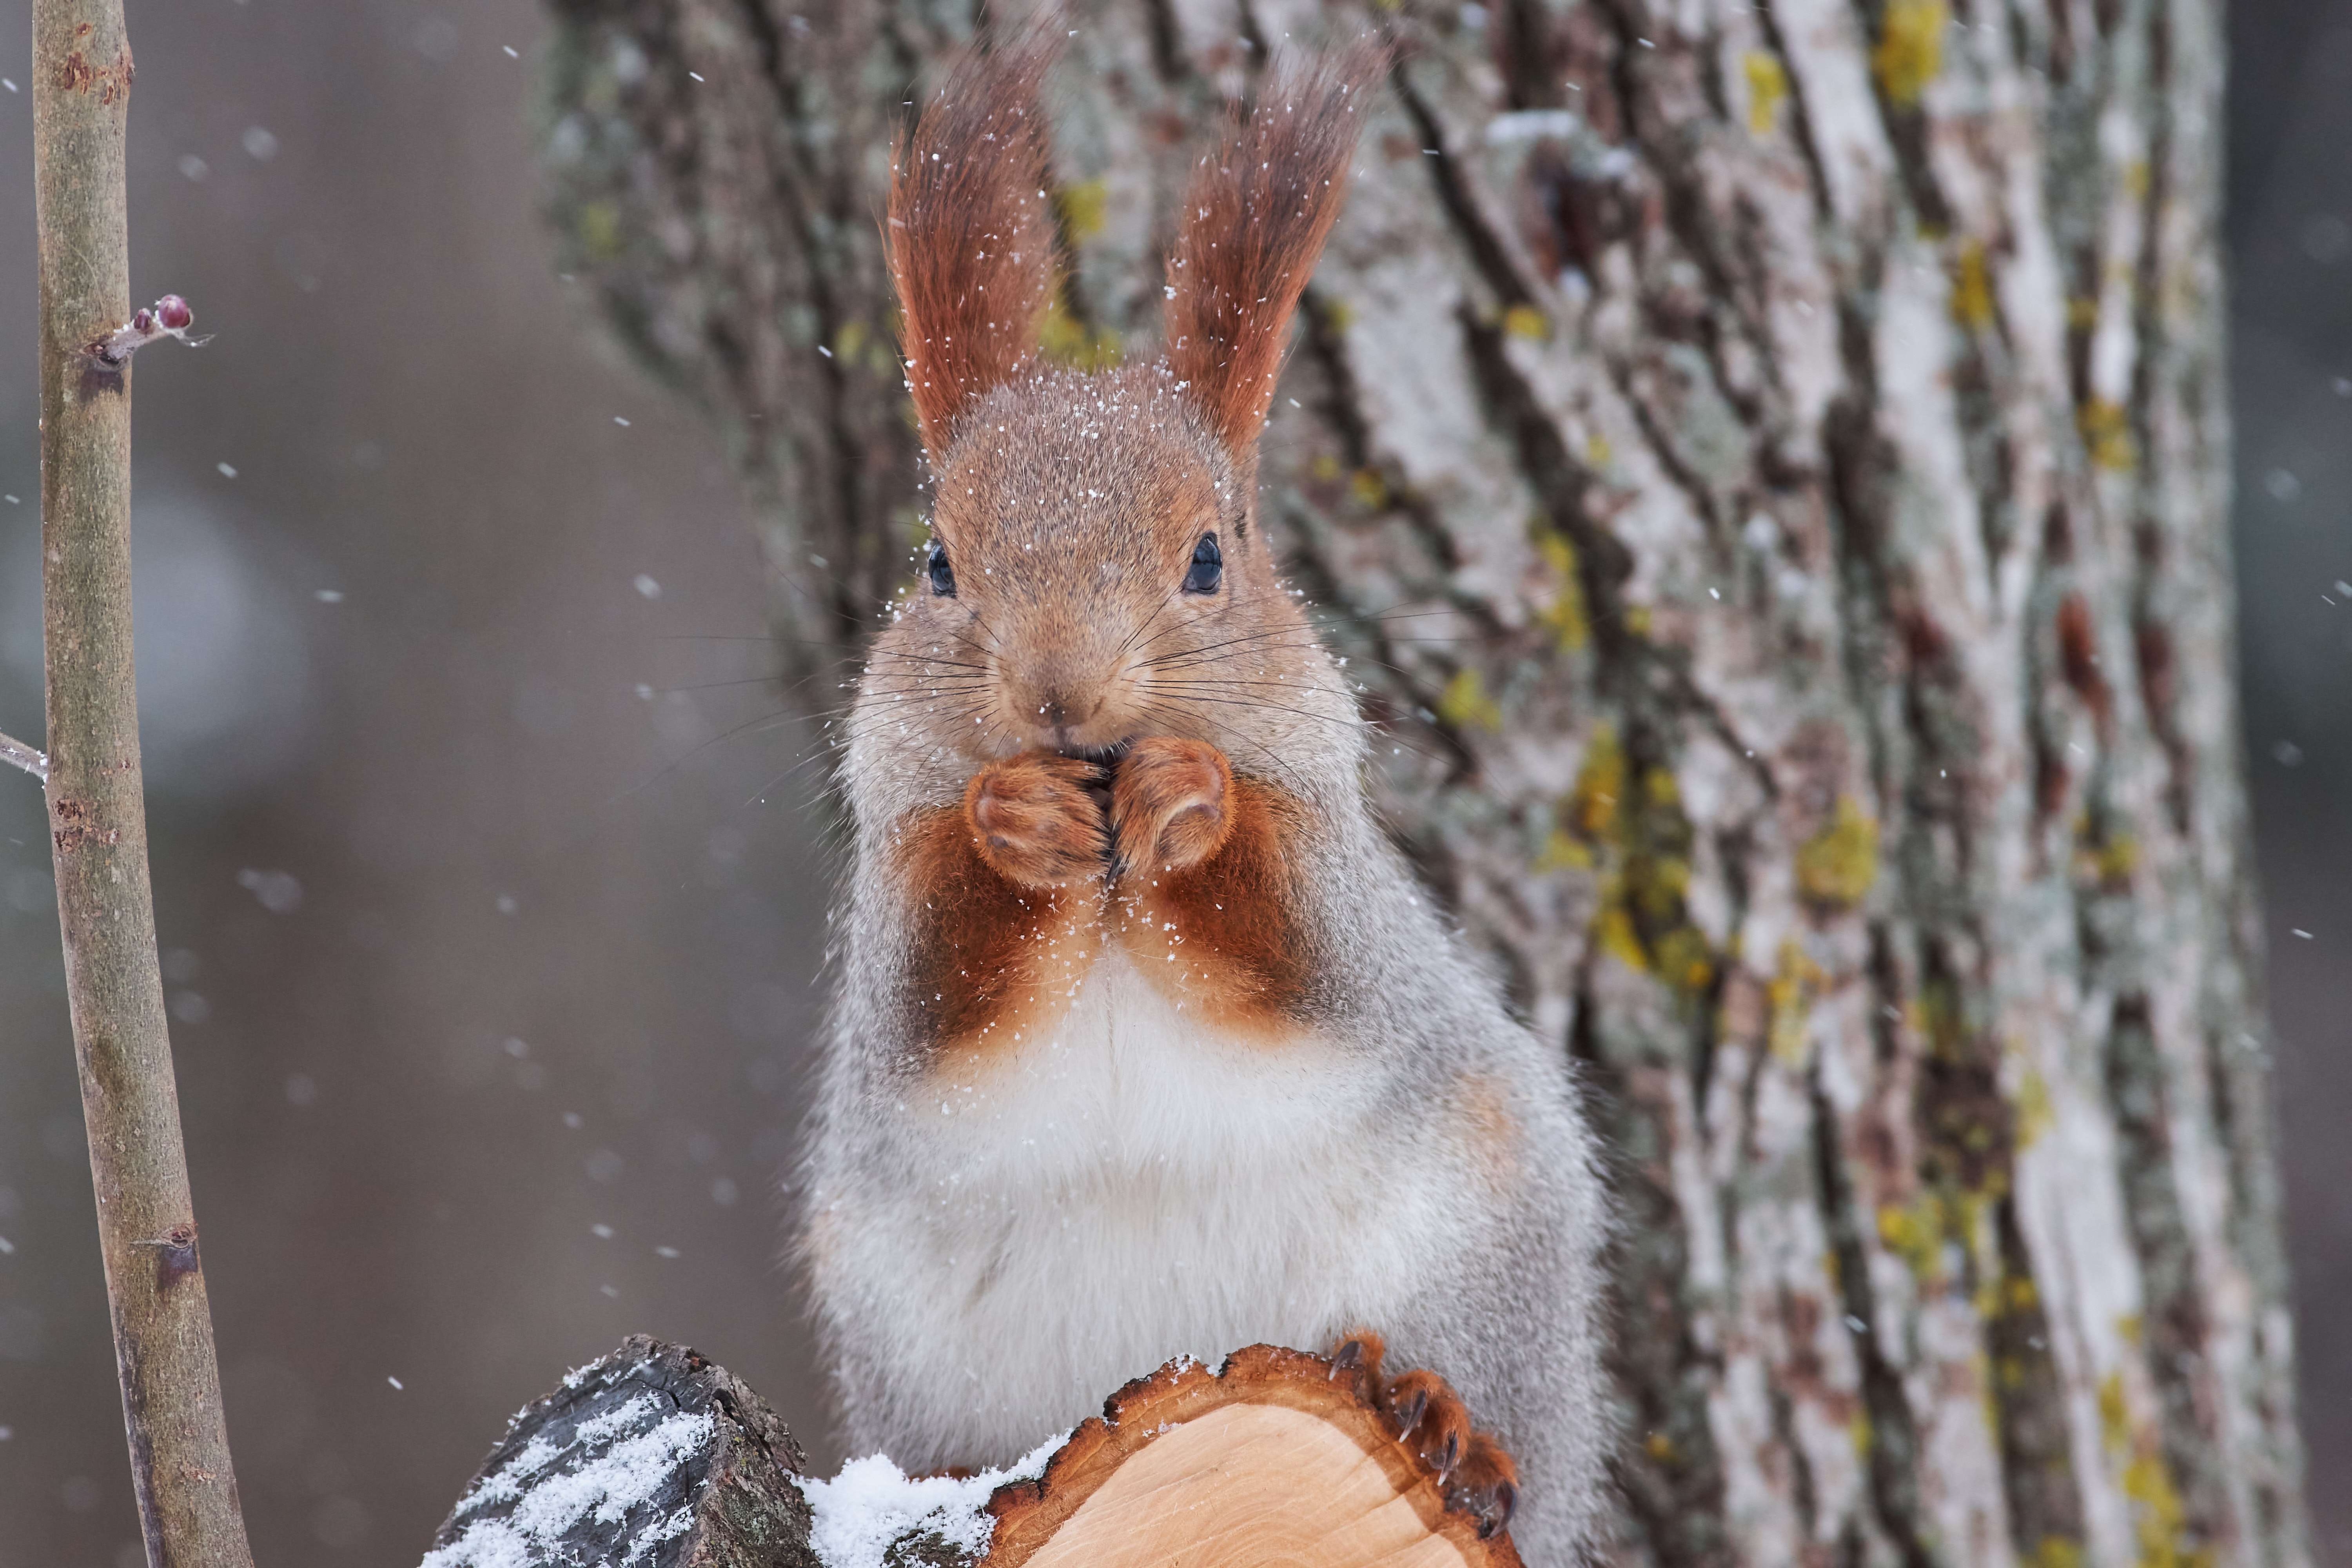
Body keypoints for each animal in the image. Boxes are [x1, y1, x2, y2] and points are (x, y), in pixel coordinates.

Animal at [804, 31, 1618, 1561]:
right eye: (937, 564)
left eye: (1208, 558)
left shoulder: (1348, 889)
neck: (1109, 887)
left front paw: (1194, 802)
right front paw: (1013, 825)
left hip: (1495, 1266)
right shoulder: (889, 915)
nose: (1060, 694)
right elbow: (939, 994)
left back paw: (1441, 1414)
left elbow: (1296, 942)